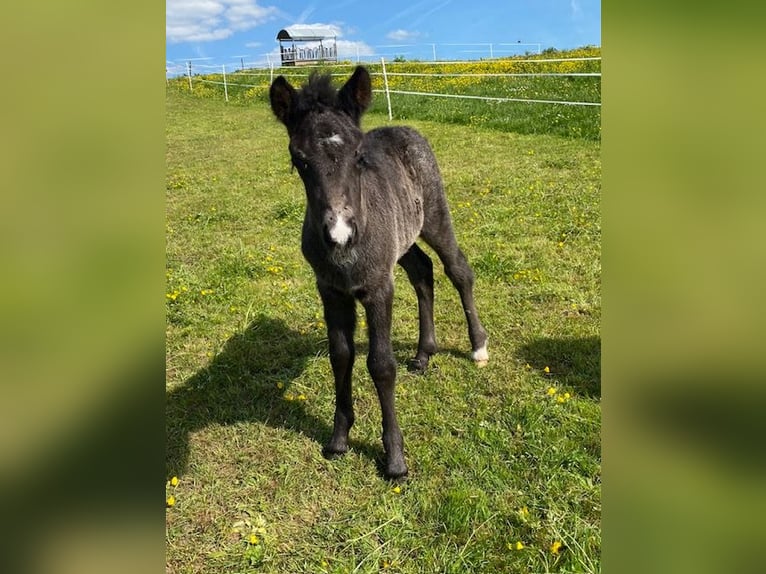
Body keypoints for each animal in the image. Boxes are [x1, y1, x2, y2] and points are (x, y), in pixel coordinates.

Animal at [270, 66, 488, 482]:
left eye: (358, 156)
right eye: (298, 159)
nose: (340, 233)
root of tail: (404, 129)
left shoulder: (378, 288)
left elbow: (381, 365)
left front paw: (395, 459)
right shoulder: (331, 291)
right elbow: (341, 355)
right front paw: (339, 439)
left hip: (435, 217)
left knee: (458, 269)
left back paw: (478, 346)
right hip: (402, 243)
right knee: (422, 270)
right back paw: (423, 354)